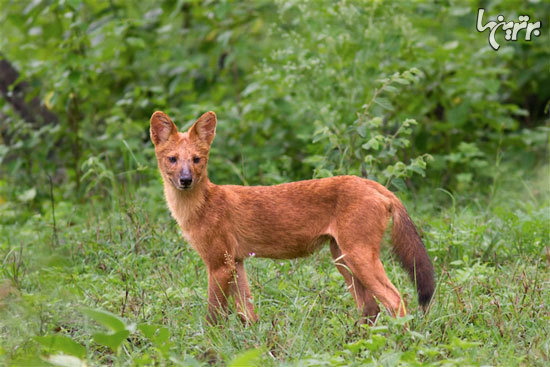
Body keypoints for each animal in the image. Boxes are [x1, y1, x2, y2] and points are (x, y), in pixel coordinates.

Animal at [150, 110, 436, 324]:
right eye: (173, 159)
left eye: (197, 159)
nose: (185, 180)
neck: (200, 206)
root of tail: (373, 184)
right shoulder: (237, 262)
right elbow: (248, 316)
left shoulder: (219, 265)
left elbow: (213, 318)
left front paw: (210, 346)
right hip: (342, 258)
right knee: (370, 308)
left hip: (358, 257)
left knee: (396, 301)